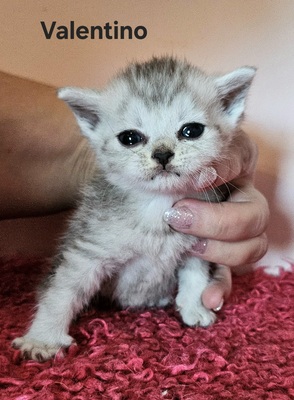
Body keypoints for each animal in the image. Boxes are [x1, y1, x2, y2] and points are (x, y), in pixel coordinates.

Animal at [12, 57, 255, 360]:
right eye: (130, 138)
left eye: (191, 130)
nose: (162, 154)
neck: (157, 206)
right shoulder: (87, 249)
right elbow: (62, 290)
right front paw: (43, 338)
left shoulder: (196, 246)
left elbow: (195, 278)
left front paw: (194, 308)